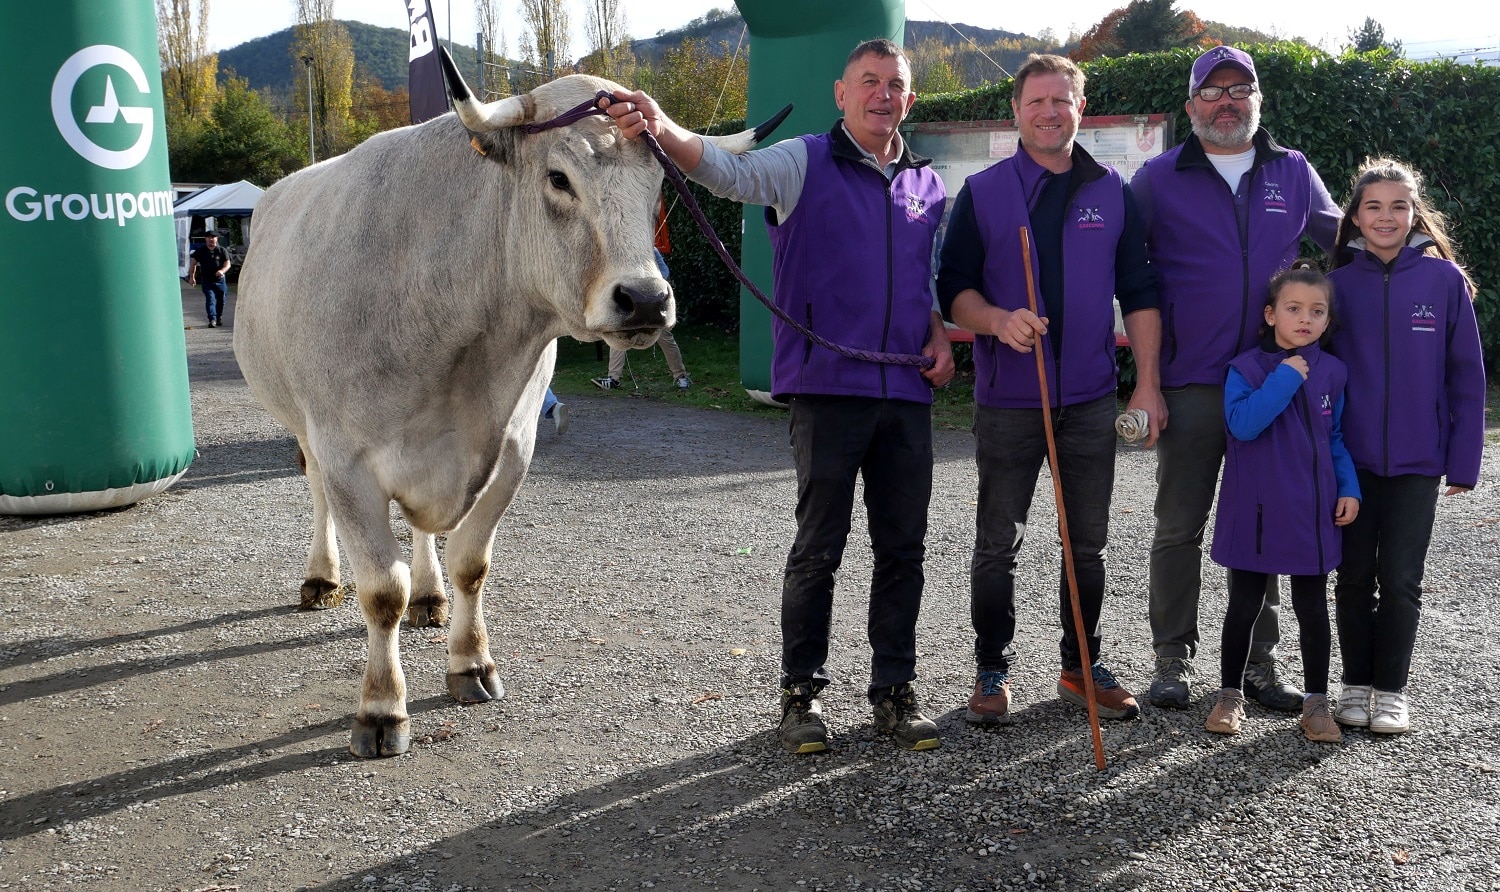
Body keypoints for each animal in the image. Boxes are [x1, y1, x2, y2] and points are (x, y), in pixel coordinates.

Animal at [233, 51, 782, 758]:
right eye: (558, 177)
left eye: (658, 186)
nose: (646, 299)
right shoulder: (348, 458)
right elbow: (380, 590)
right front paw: (381, 709)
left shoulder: (512, 449)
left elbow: (471, 563)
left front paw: (469, 661)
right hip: (304, 428)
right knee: (318, 496)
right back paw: (322, 578)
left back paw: (430, 596)